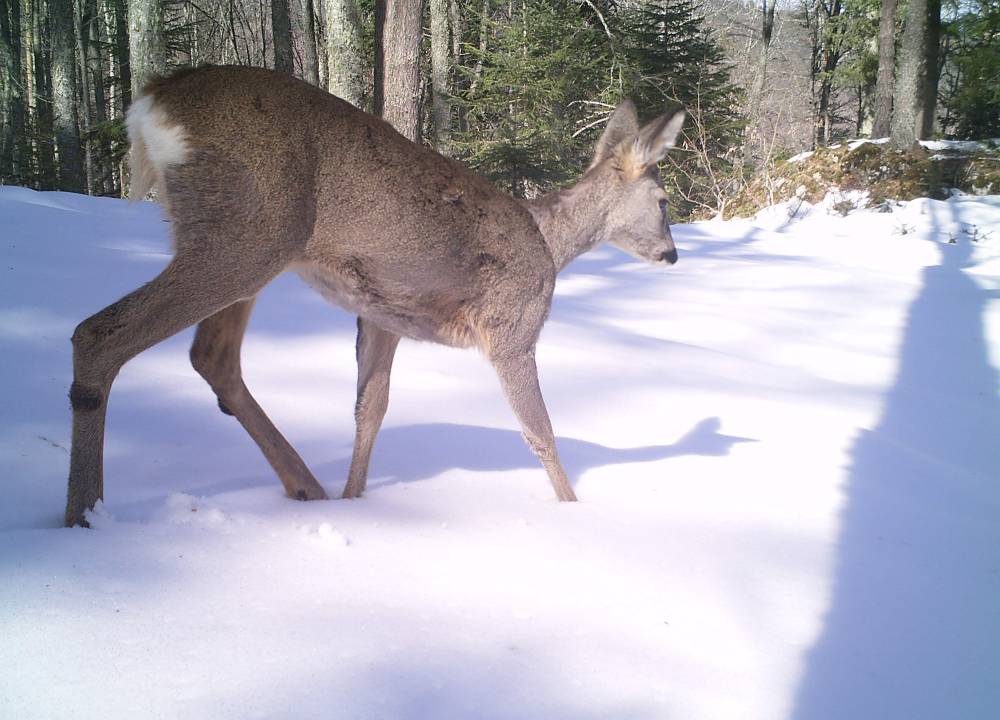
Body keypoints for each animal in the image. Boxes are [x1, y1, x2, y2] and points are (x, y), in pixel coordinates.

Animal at [64, 67, 688, 524]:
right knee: (98, 333)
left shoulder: (383, 316)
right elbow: (541, 432)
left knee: (212, 357)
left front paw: (355, 501)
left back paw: (308, 488)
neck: (549, 243)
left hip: (237, 243)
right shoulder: (513, 326)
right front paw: (575, 514)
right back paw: (84, 517)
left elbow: (371, 409)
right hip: (250, 231)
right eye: (663, 202)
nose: (672, 255)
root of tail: (152, 97)